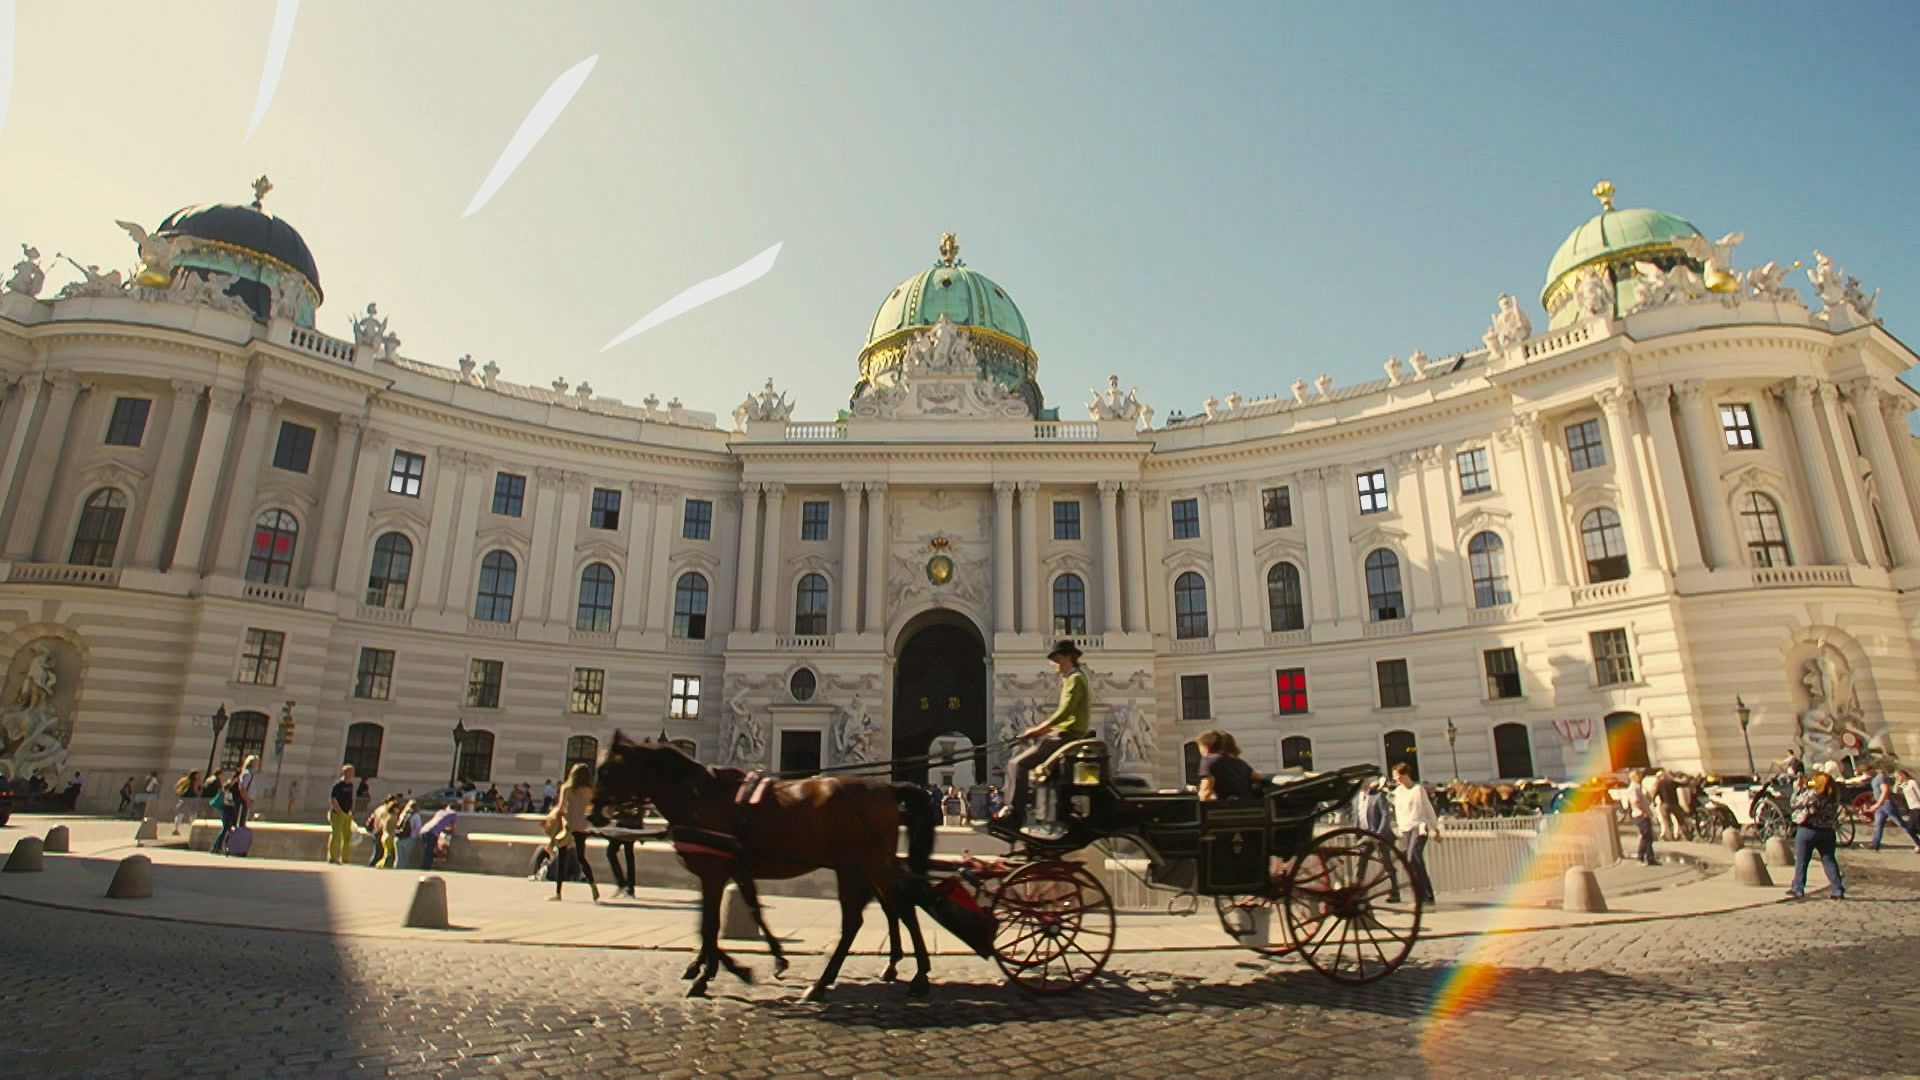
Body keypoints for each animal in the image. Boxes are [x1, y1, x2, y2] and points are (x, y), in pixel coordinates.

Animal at [591, 730, 936, 999]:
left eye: (605, 772)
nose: (593, 815)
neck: (701, 796)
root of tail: (888, 788)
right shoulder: (735, 871)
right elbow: (744, 913)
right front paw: (770, 960)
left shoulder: (714, 872)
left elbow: (709, 925)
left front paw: (713, 974)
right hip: (868, 867)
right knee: (896, 908)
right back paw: (902, 971)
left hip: (860, 866)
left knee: (870, 917)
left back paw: (829, 984)